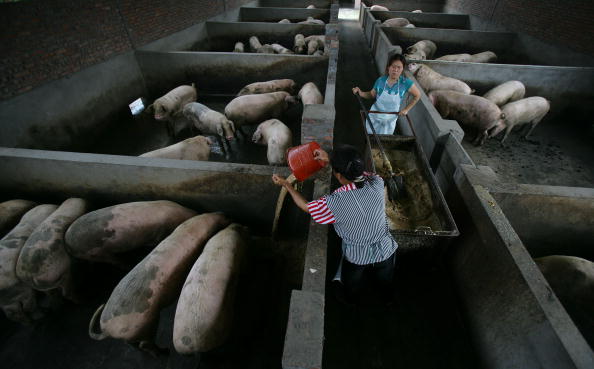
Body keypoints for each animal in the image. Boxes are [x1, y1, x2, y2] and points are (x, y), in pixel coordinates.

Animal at [89, 211, 230, 352]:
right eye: (221, 220)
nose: (223, 213)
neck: (195, 225)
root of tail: (107, 330)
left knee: (132, 344)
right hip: (144, 325)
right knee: (145, 343)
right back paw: (165, 351)